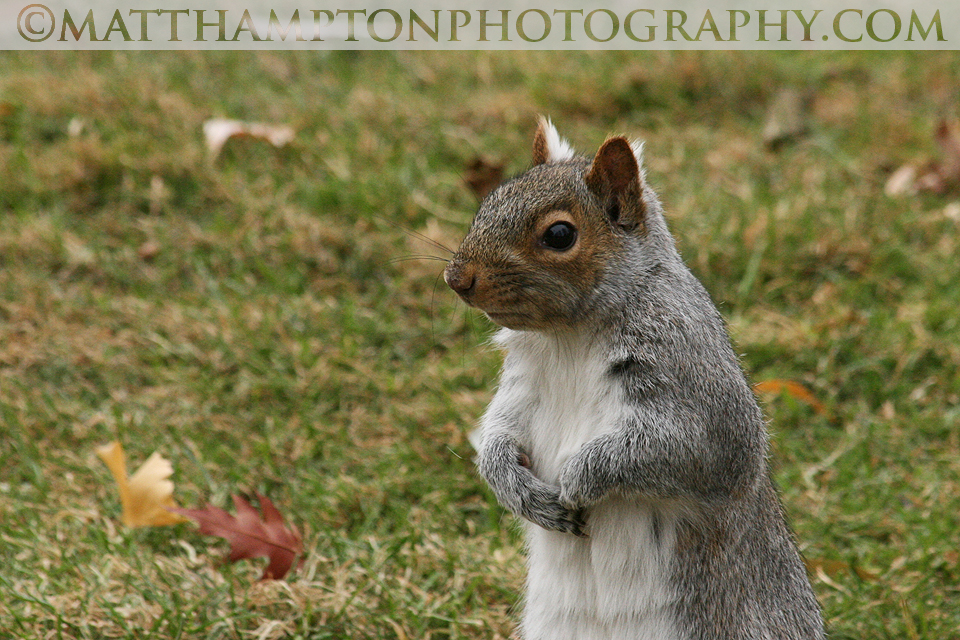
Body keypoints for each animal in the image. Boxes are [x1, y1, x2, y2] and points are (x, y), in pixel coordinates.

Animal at [444, 118, 825, 640]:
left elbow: (689, 448)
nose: (456, 278)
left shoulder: (691, 374)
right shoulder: (521, 386)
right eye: (489, 202)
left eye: (559, 234)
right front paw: (518, 490)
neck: (569, 337)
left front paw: (579, 480)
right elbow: (498, 434)